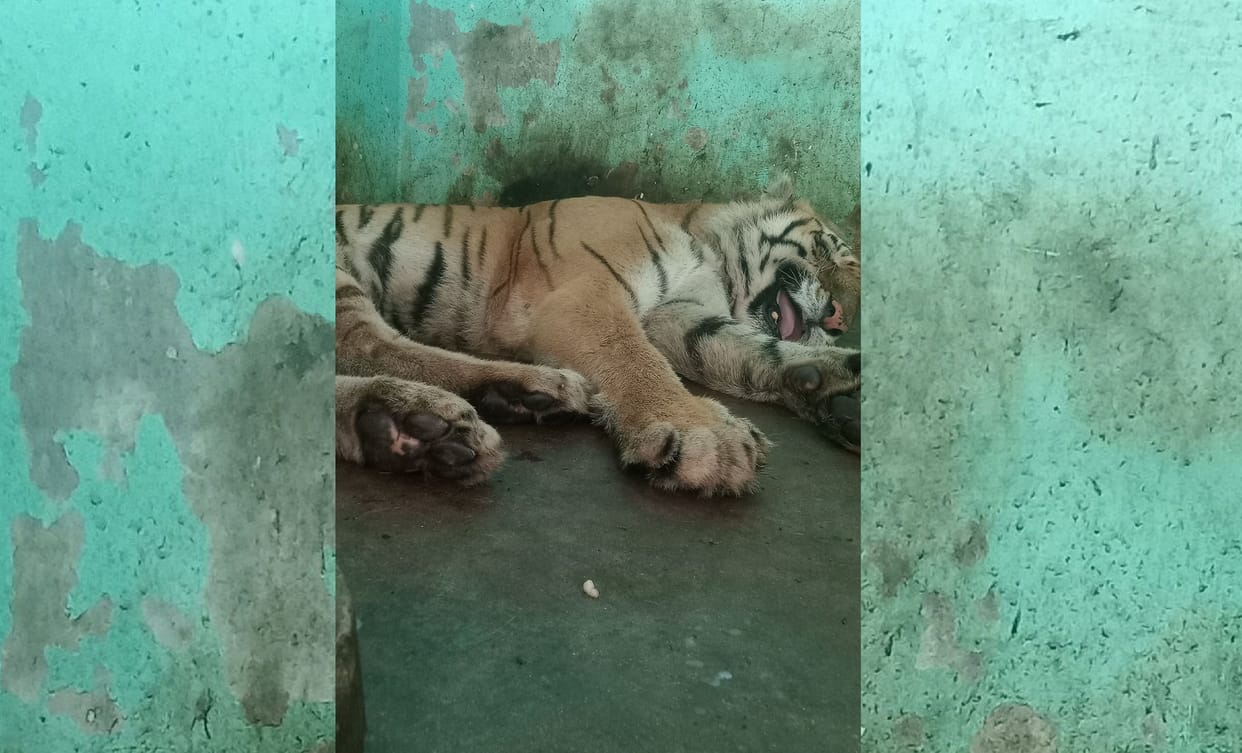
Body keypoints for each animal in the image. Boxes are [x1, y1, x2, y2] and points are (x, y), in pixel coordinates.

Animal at [334, 174, 861, 496]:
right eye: (829, 251)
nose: (839, 320)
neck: (710, 255)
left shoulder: (678, 316)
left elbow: (752, 349)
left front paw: (841, 380)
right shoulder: (584, 293)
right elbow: (635, 358)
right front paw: (706, 435)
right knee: (367, 346)